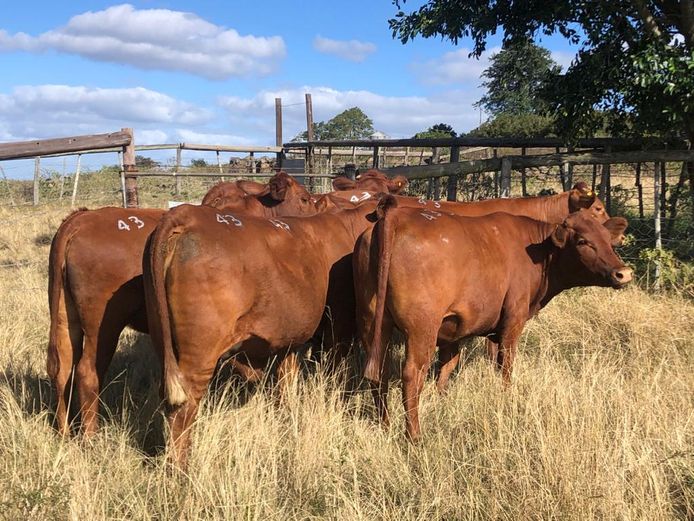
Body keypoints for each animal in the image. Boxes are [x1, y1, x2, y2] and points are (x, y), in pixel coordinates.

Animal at [47, 171, 320, 434]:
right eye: (305, 198)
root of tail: (79, 220)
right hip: (104, 324)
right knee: (87, 373)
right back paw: (89, 437)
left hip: (65, 318)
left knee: (63, 370)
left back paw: (65, 433)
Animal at [143, 199, 378, 464]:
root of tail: (187, 213)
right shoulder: (339, 331)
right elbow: (335, 376)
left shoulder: (290, 342)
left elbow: (286, 381)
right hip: (199, 355)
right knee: (184, 407)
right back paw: (181, 466)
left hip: (163, 342)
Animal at [356, 195, 632, 438]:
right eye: (583, 241)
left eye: (607, 239)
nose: (624, 273)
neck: (538, 249)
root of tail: (395, 217)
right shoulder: (513, 320)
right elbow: (504, 366)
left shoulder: (459, 330)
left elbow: (447, 368)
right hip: (421, 328)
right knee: (412, 375)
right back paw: (414, 436)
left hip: (373, 324)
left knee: (379, 373)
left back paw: (385, 425)